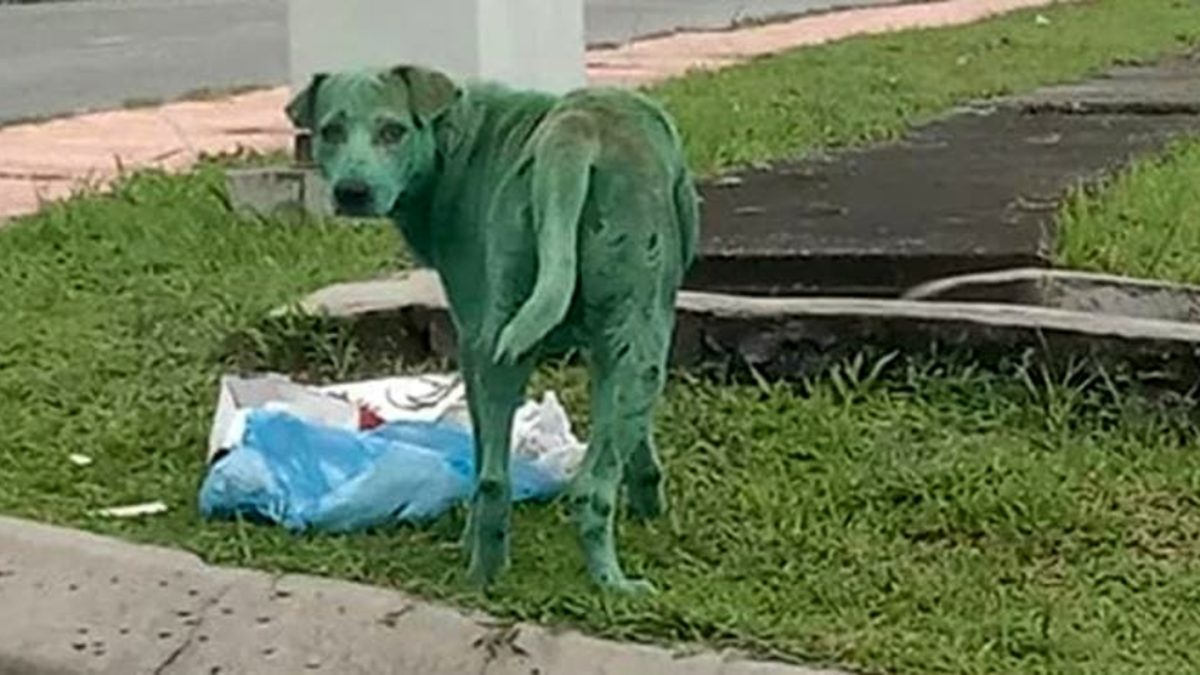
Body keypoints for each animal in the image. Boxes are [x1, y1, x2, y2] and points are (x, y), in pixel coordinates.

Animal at [289, 65, 700, 590]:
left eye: (392, 131)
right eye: (331, 131)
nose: (352, 193)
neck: (453, 137)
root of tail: (574, 132)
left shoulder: (506, 344)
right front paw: (650, 510)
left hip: (532, 344)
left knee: (499, 478)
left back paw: (495, 572)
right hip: (601, 342)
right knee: (568, 484)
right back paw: (601, 583)